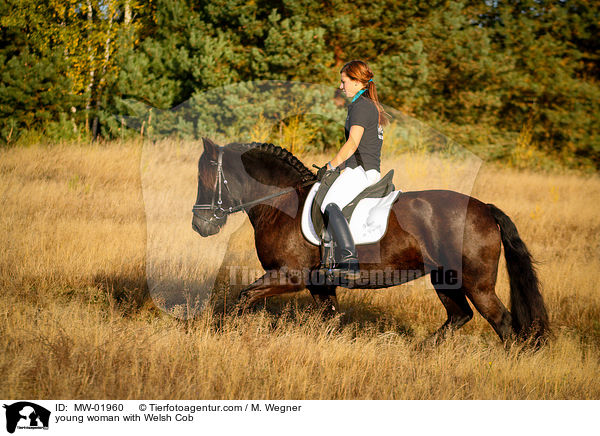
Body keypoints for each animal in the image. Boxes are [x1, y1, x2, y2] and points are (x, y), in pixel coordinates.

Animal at [192, 138, 548, 342]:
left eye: (205, 177)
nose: (199, 225)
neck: (283, 203)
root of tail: (484, 208)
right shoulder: (319, 284)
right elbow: (331, 321)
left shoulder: (289, 276)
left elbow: (243, 298)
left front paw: (219, 334)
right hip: (445, 279)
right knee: (459, 315)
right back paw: (418, 353)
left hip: (477, 283)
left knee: (501, 321)